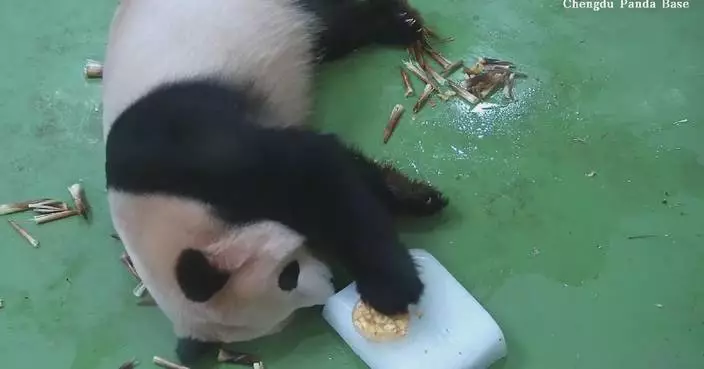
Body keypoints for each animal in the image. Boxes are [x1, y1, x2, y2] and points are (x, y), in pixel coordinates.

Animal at [102, 0, 448, 364]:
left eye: (288, 275)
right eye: (289, 311)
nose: (329, 284)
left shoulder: (188, 159)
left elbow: (315, 174)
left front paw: (393, 287)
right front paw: (414, 196)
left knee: (329, 20)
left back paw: (401, 23)